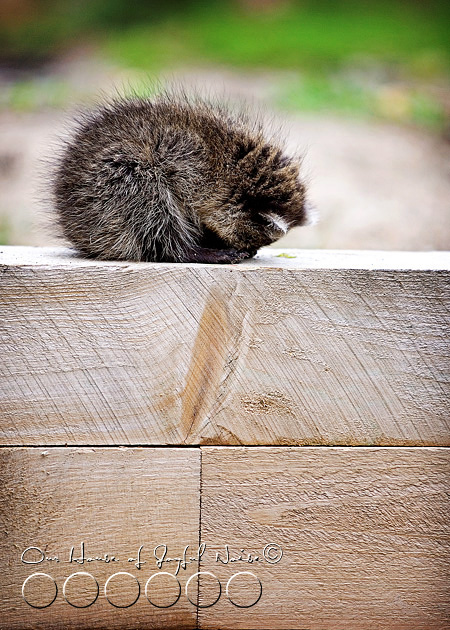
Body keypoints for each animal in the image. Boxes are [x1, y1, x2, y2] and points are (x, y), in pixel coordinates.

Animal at [52, 91, 312, 264]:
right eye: (246, 238)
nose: (251, 250)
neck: (232, 173)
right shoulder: (184, 156)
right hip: (115, 181)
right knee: (150, 207)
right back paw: (184, 250)